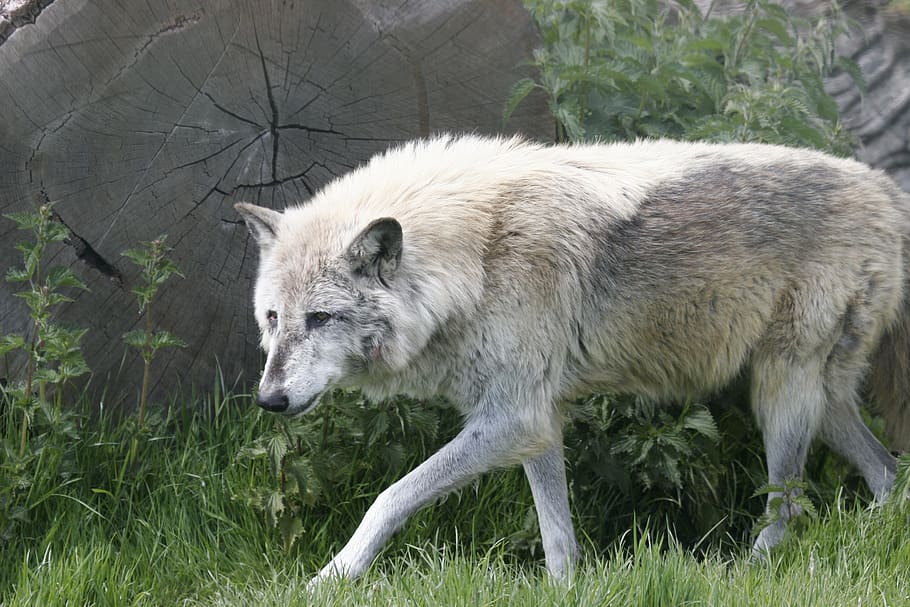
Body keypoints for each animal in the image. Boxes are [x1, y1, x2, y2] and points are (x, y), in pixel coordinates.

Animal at [237, 135, 910, 588]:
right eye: (272, 318)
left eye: (320, 319)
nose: (269, 401)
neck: (477, 255)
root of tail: (887, 189)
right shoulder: (535, 422)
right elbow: (556, 534)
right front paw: (565, 589)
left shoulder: (514, 418)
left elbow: (390, 497)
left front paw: (330, 578)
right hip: (813, 400)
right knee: (886, 473)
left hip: (782, 395)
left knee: (788, 507)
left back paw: (749, 571)